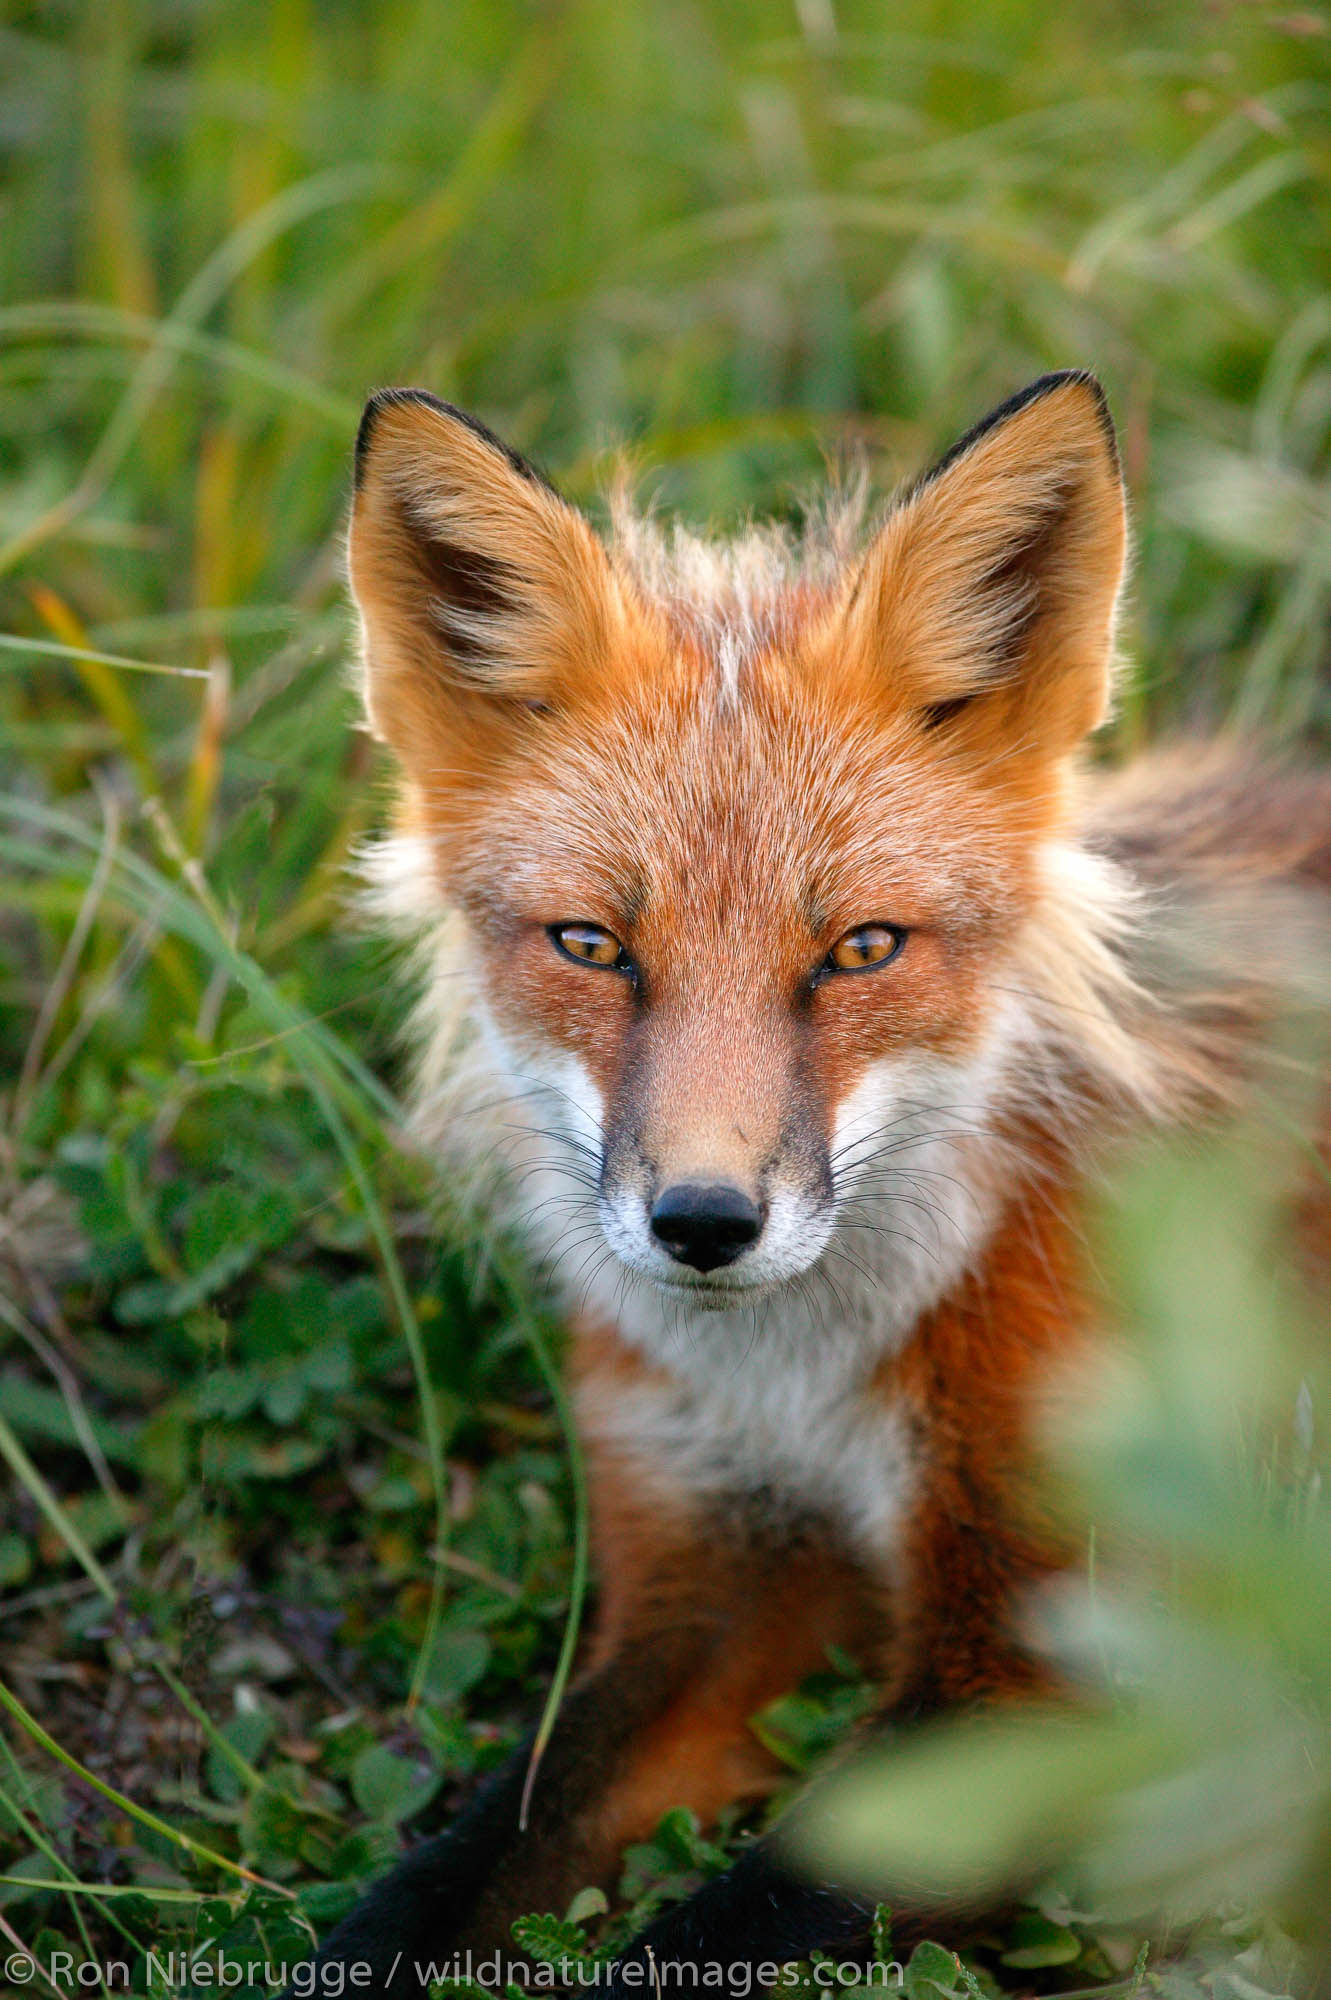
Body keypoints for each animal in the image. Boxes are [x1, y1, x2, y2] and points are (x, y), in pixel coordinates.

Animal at [297, 372, 1327, 1984]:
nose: (703, 1224)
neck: (800, 1380)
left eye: (859, 949)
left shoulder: (1058, 1660)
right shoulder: (701, 1572)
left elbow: (731, 1924)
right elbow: (447, 1871)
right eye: (592, 945)